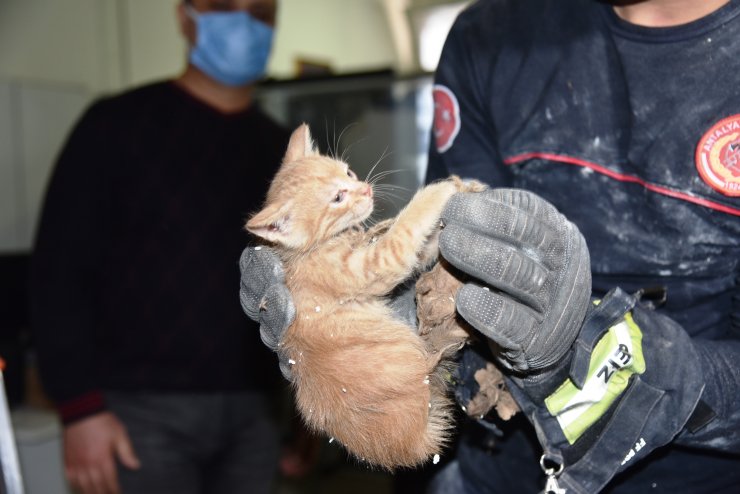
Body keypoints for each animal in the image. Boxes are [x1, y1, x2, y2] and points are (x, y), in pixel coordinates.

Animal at [246, 124, 482, 470]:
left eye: (347, 172)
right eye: (337, 197)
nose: (366, 190)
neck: (310, 250)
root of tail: (414, 445)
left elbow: (417, 242)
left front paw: (469, 188)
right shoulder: (379, 262)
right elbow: (406, 227)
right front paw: (437, 191)